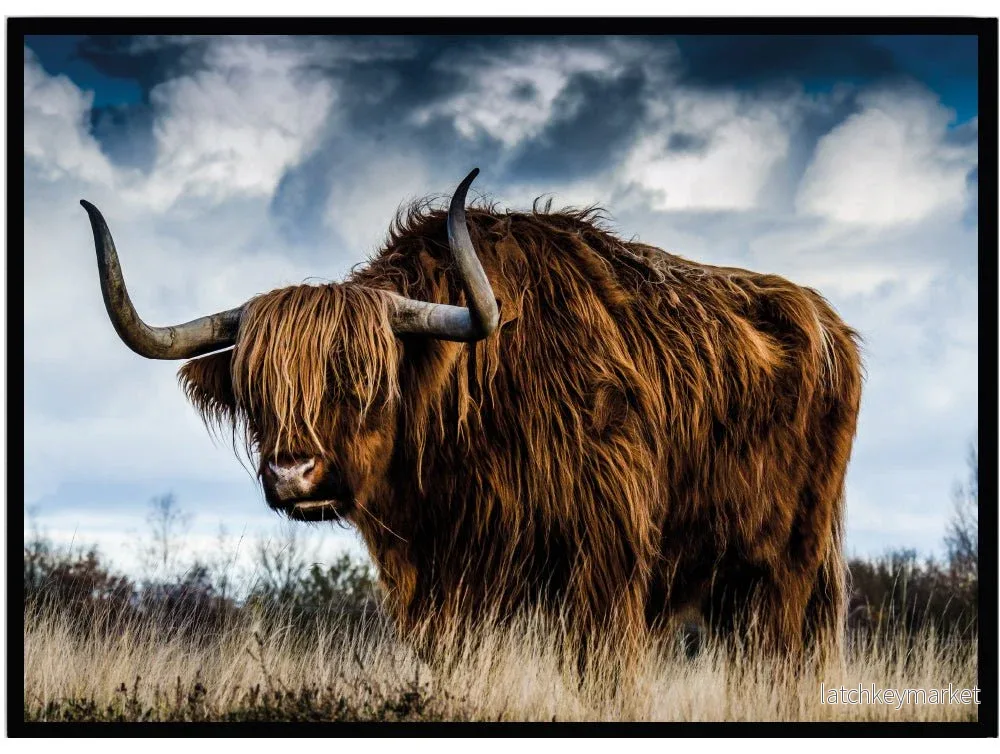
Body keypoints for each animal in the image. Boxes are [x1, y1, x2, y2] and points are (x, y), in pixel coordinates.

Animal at [80, 169, 862, 661]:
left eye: (364, 378)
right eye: (256, 389)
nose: (292, 474)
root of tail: (828, 323)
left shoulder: (606, 562)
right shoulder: (442, 583)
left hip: (789, 565)